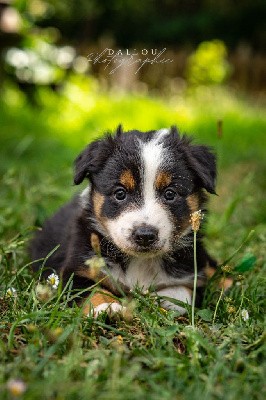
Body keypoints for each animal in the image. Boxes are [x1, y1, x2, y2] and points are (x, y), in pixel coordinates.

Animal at [31, 126, 217, 318]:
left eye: (170, 193)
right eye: (120, 193)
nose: (145, 236)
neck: (140, 261)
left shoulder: (194, 271)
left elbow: (185, 293)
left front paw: (161, 299)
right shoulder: (76, 270)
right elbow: (93, 291)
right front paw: (106, 308)